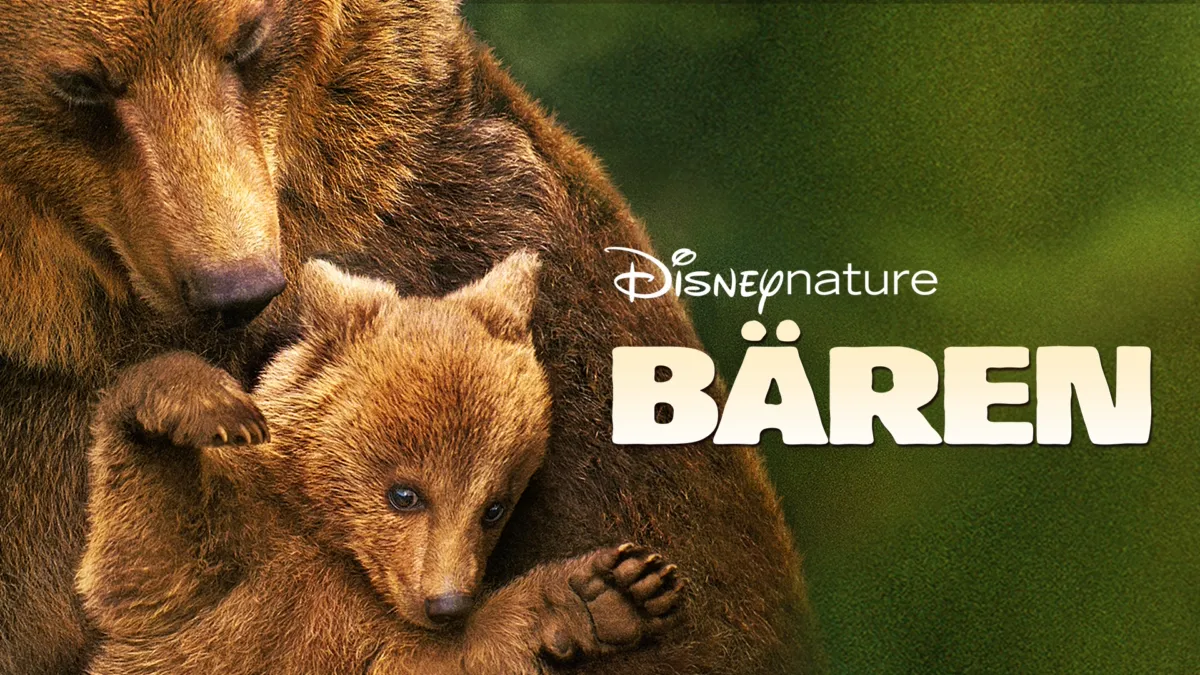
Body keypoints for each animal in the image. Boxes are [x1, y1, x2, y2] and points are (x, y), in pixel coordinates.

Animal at [78, 252, 685, 674]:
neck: (332, 546)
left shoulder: (370, 633)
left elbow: (446, 657)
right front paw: (205, 404)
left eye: (494, 507)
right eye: (405, 493)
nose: (447, 602)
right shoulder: (226, 568)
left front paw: (612, 591)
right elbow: (145, 554)